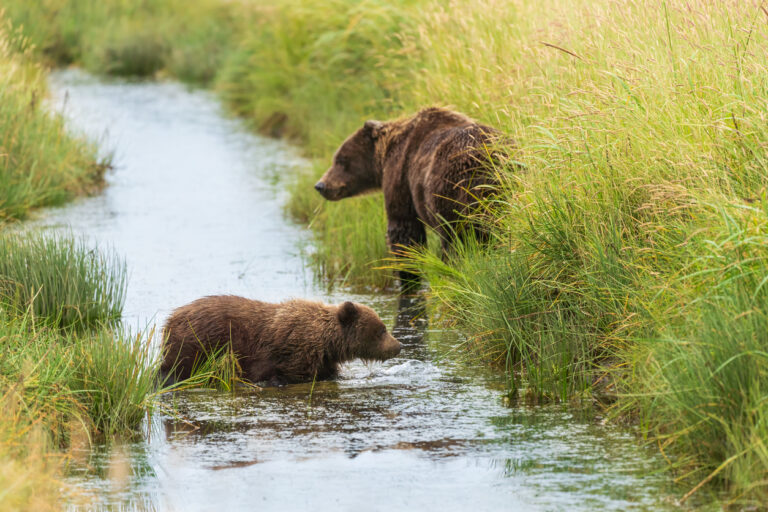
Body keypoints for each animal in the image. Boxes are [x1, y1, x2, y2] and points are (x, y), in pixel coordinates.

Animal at [160, 295, 401, 386]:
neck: (327, 343)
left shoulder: (322, 360)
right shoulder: (293, 354)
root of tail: (170, 319)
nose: (398, 346)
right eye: (381, 329)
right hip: (197, 345)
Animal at [314, 107, 505, 284]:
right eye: (336, 158)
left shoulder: (401, 176)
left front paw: (408, 277)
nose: (320, 185)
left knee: (456, 240)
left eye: (341, 160)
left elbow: (404, 231)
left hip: (452, 192)